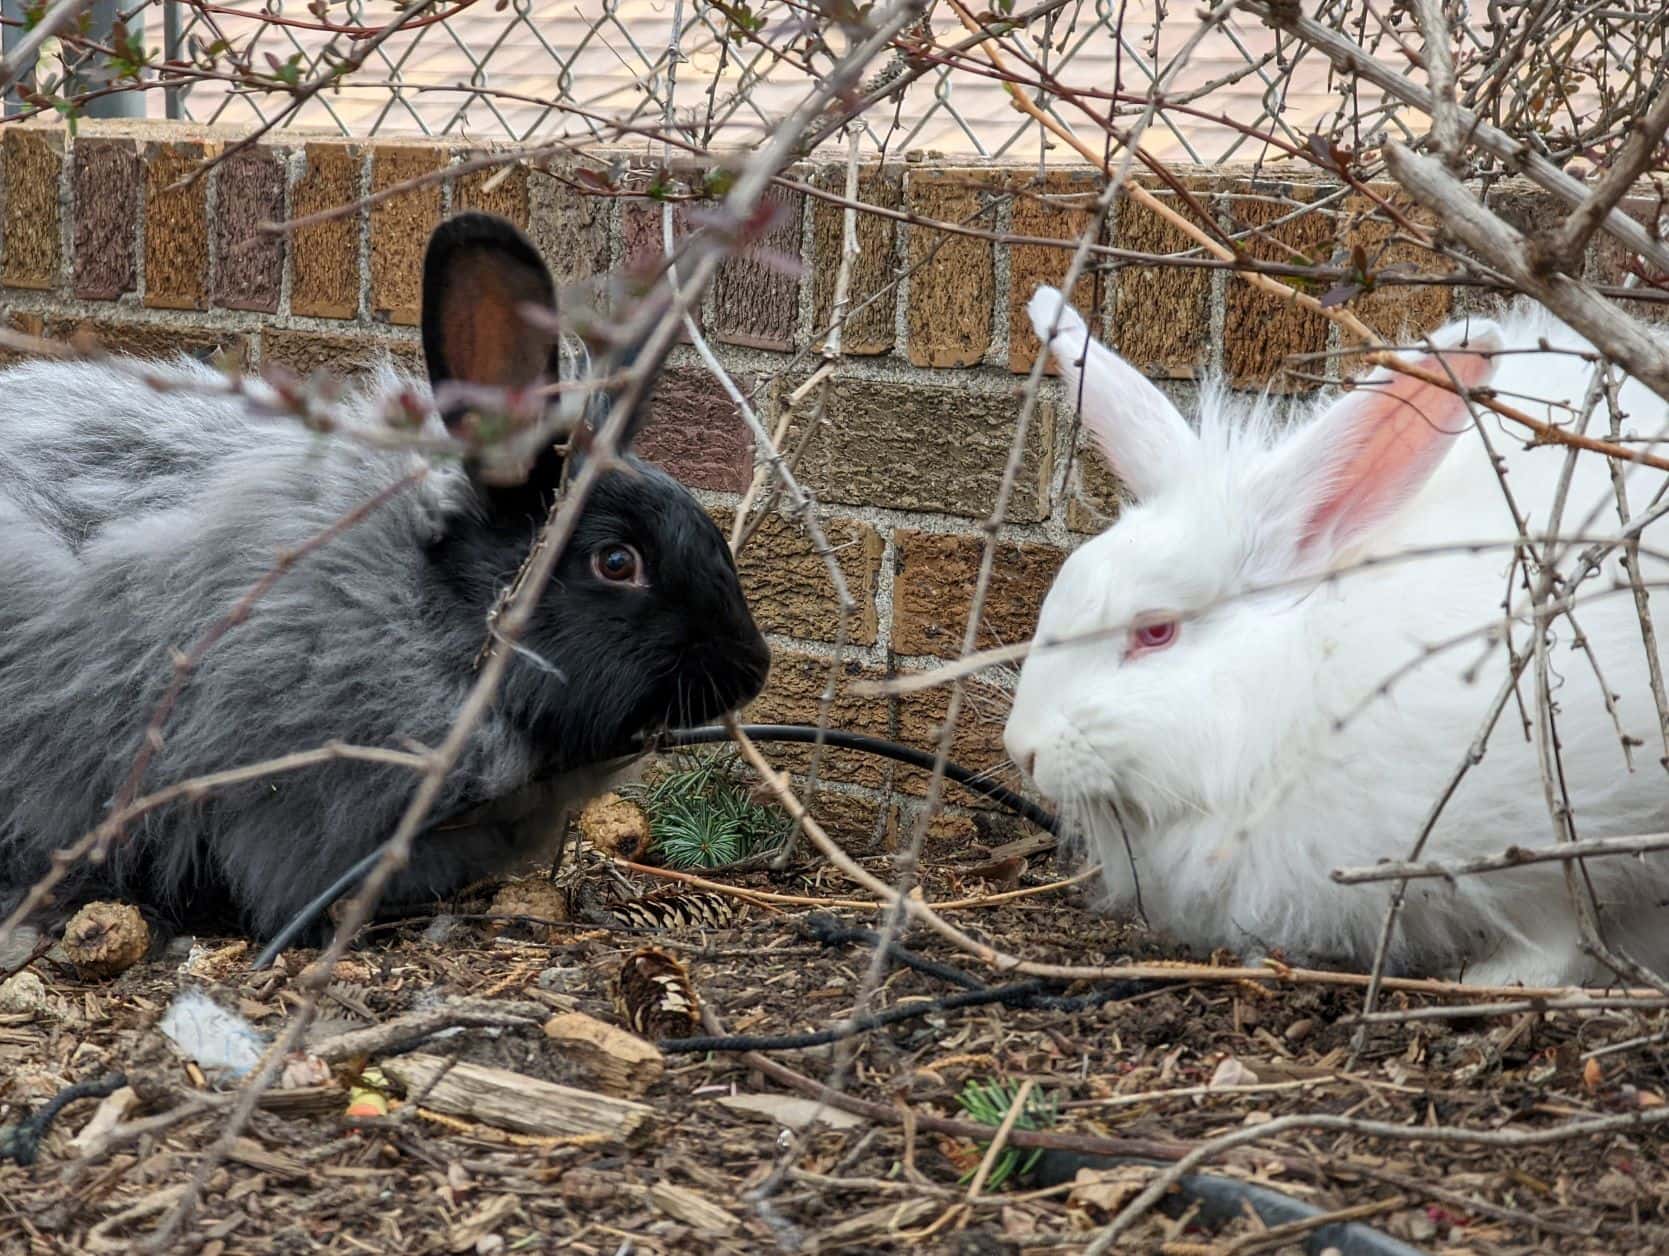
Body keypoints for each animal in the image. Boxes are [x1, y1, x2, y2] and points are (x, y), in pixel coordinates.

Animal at [1001, 286, 1669, 987]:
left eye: (1156, 631)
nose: (1023, 749)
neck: (1296, 690)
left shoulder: (1560, 835)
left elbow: (1559, 930)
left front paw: (1495, 981)